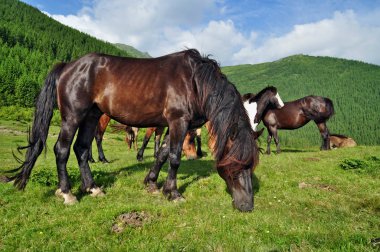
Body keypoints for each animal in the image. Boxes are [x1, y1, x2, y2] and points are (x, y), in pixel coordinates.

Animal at [5, 48, 258, 211]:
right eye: (237, 165)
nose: (247, 207)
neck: (195, 82)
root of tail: (68, 66)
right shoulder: (179, 122)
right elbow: (174, 158)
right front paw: (173, 193)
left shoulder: (172, 125)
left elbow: (162, 154)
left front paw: (153, 184)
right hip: (73, 117)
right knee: (62, 149)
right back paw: (67, 193)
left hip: (91, 117)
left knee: (82, 149)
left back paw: (92, 188)